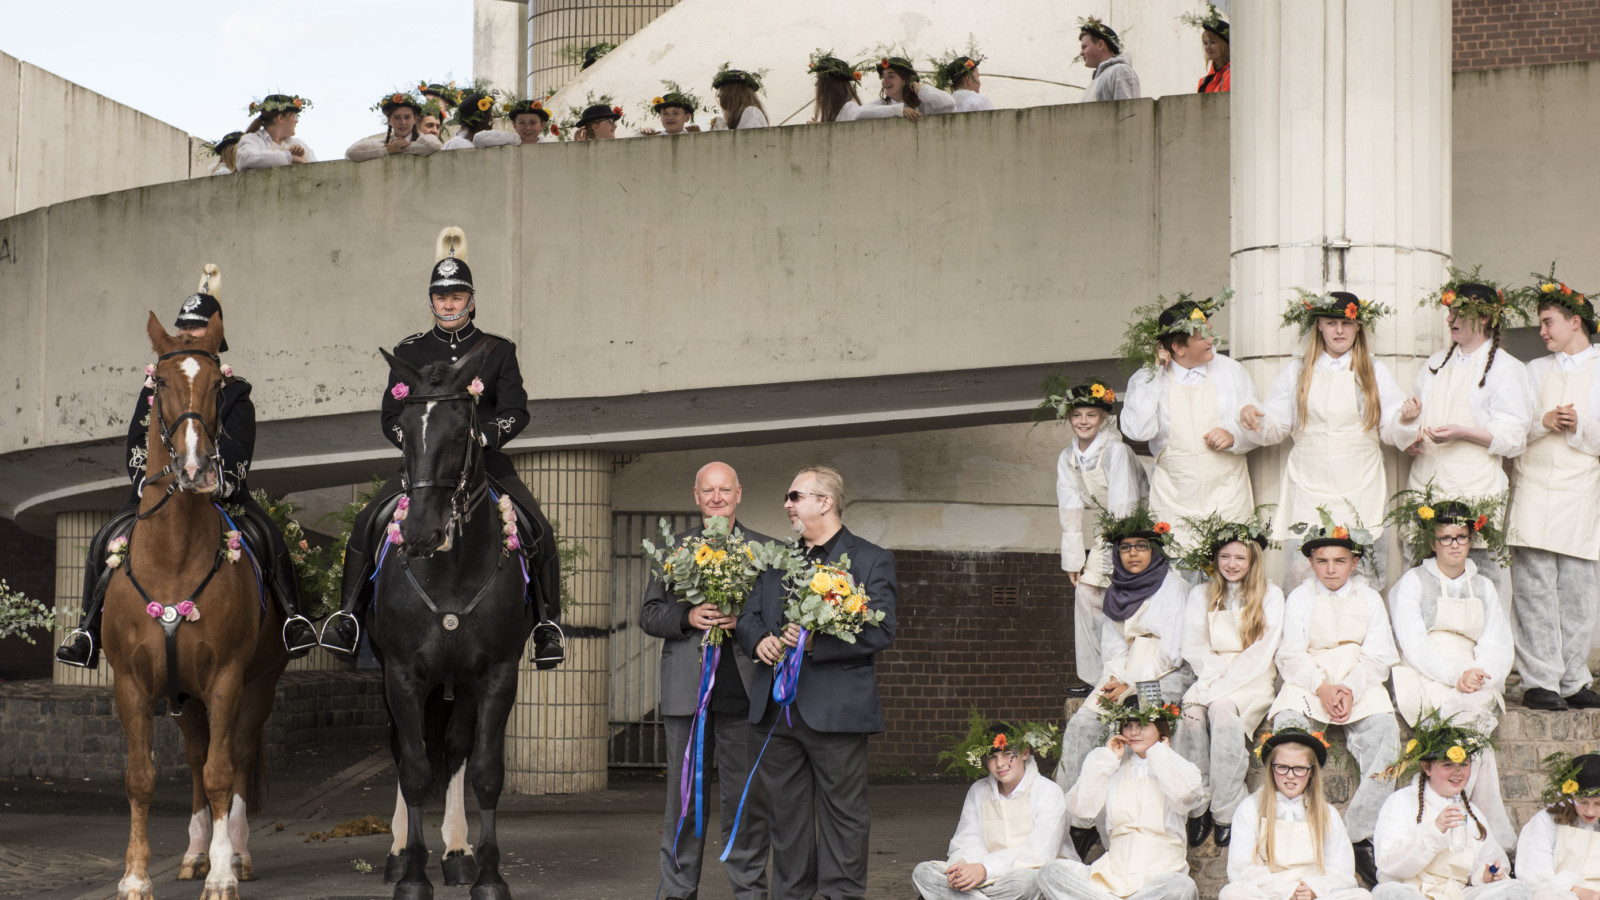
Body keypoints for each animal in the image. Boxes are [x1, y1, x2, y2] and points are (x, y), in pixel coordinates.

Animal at [104, 310, 288, 896]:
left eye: (218, 386)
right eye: (159, 383)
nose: (193, 468)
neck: (173, 558)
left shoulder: (227, 678)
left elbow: (221, 773)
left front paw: (224, 874)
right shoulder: (132, 685)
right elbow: (142, 778)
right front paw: (136, 877)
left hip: (256, 686)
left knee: (236, 755)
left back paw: (238, 853)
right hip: (185, 696)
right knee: (193, 755)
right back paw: (194, 852)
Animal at [368, 344, 531, 896]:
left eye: (462, 433)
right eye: (404, 430)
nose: (421, 533)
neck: (451, 570)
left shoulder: (497, 675)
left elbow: (485, 770)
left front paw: (489, 873)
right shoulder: (401, 675)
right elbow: (415, 768)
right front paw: (413, 873)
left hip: (460, 683)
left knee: (457, 748)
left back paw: (458, 852)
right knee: (403, 750)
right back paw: (399, 852)